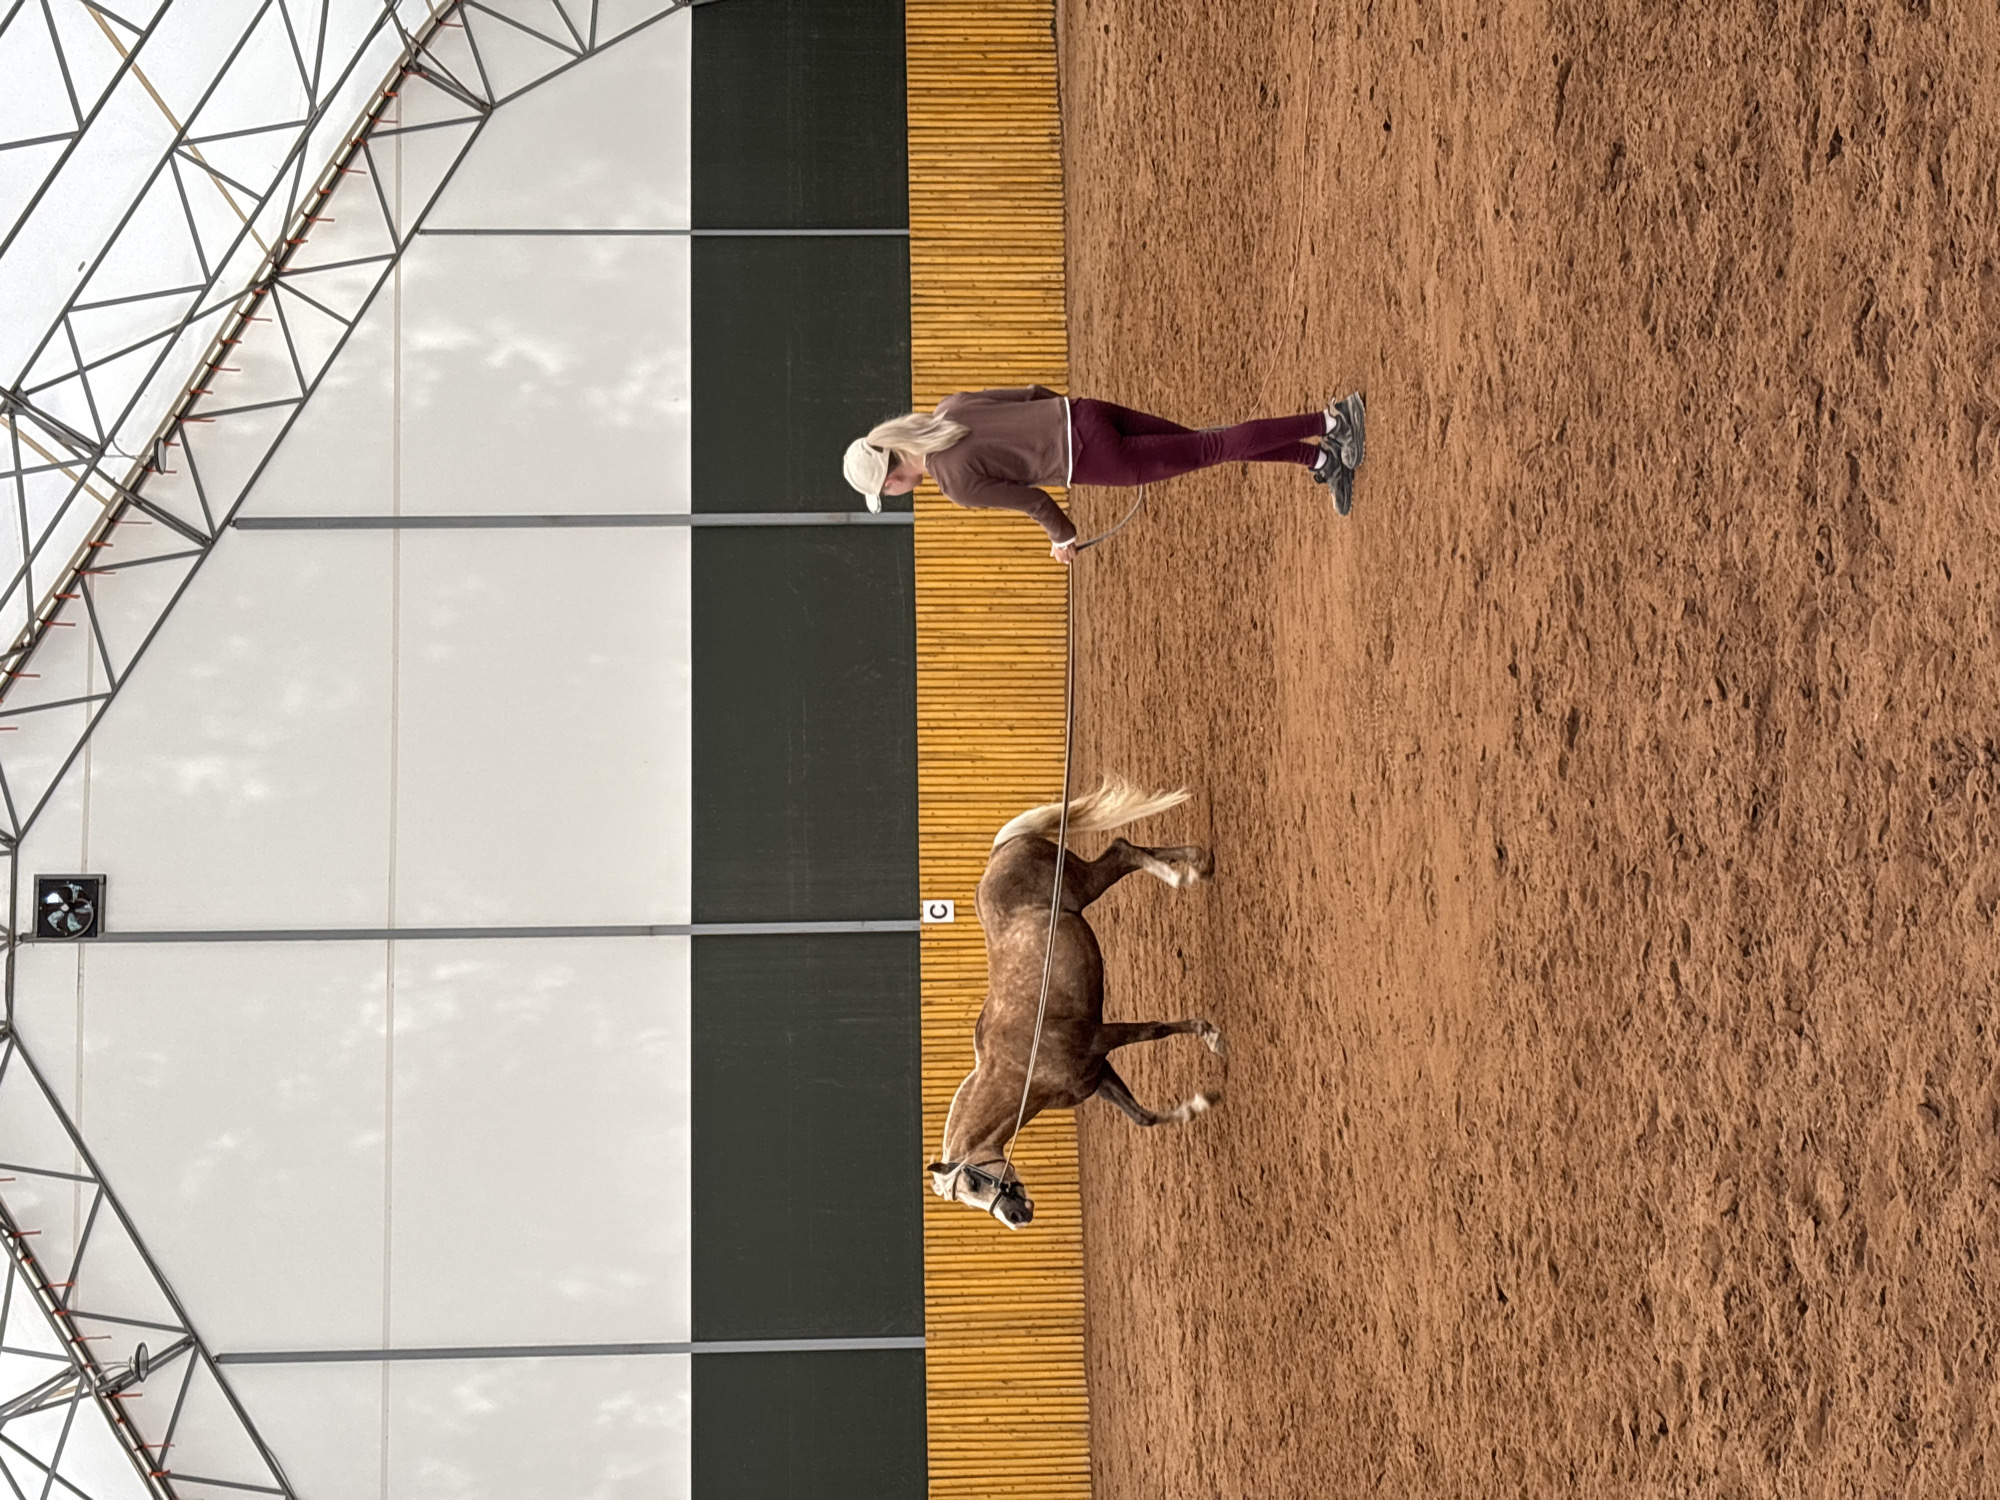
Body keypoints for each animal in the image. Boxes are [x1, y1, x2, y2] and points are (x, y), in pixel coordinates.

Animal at [928, 777, 1224, 1230]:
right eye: (968, 1199)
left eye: (975, 1183)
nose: (1016, 1216)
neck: (1022, 1067)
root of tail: (999, 851)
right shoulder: (1096, 1075)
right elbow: (1143, 1117)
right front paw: (1200, 1104)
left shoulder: (1101, 1038)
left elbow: (1155, 1029)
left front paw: (1211, 1036)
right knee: (1125, 850)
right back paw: (1196, 860)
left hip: (1082, 882)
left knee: (1122, 849)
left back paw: (1182, 873)